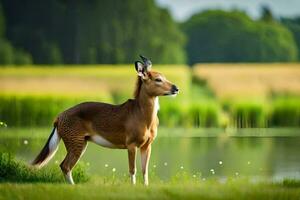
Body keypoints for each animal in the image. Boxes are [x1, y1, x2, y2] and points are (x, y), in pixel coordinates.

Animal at [31, 55, 179, 185]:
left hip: (80, 141)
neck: (142, 117)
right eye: (158, 79)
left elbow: (145, 170)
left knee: (64, 165)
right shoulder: (131, 143)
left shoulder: (147, 145)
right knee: (65, 166)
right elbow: (133, 170)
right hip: (74, 140)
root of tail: (58, 118)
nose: (176, 88)